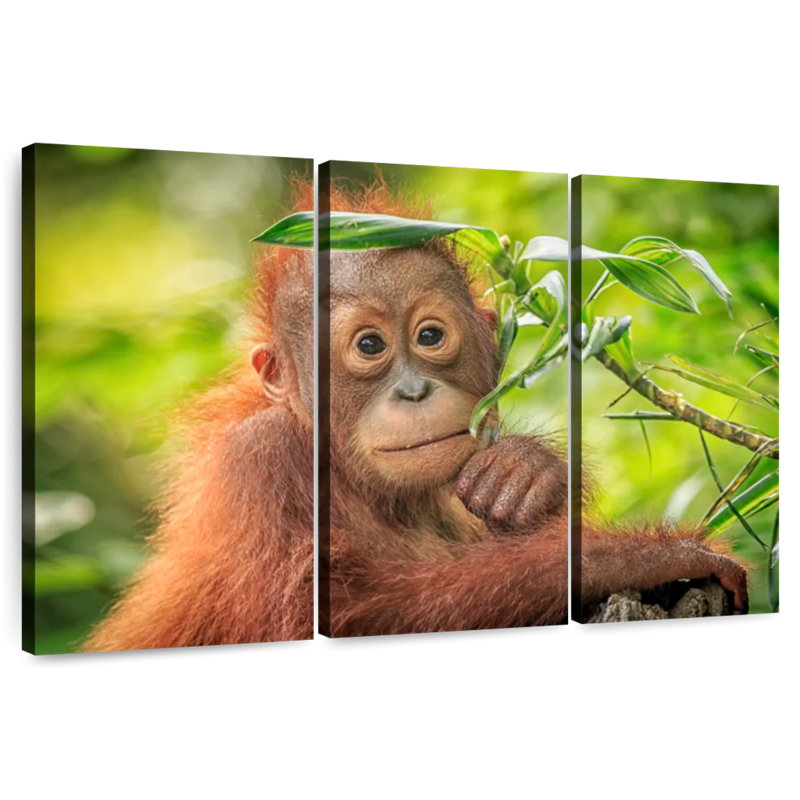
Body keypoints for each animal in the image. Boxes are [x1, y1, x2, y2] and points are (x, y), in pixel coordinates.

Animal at [320, 184, 748, 636]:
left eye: (430, 336)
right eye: (370, 345)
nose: (414, 391)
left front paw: (521, 474)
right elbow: (359, 608)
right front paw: (661, 558)